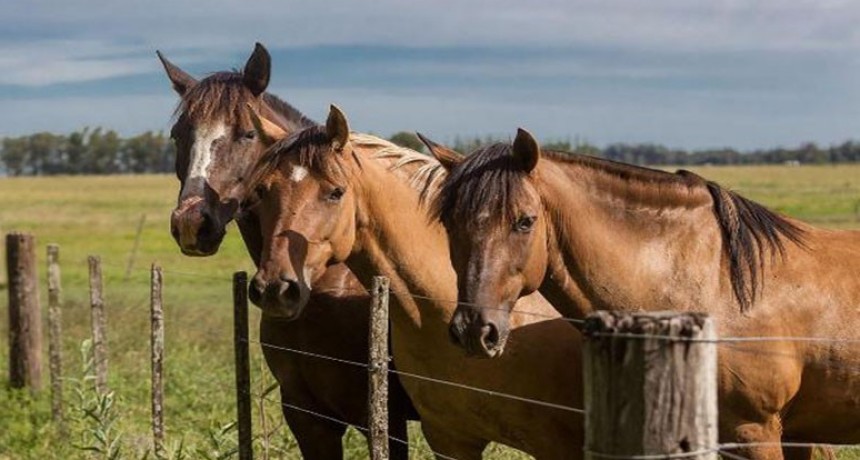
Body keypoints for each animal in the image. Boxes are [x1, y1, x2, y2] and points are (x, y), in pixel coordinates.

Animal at [161, 44, 420, 460]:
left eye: (248, 133)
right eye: (177, 135)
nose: (190, 223)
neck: (328, 287)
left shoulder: (385, 422)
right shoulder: (306, 416)